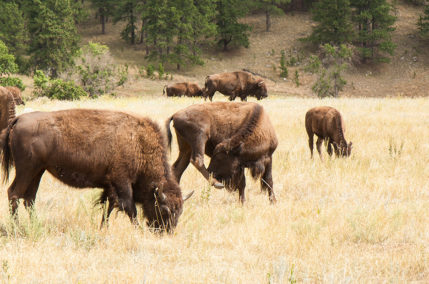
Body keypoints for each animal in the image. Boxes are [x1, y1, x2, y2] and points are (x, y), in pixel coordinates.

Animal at [0, 109, 192, 233]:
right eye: (164, 210)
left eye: (180, 211)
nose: (165, 232)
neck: (138, 142)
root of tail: (19, 119)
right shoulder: (122, 182)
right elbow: (129, 208)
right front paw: (138, 230)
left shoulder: (110, 185)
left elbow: (108, 207)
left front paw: (102, 228)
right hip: (26, 170)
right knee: (14, 193)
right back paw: (18, 228)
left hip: (38, 171)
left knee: (29, 198)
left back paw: (36, 225)